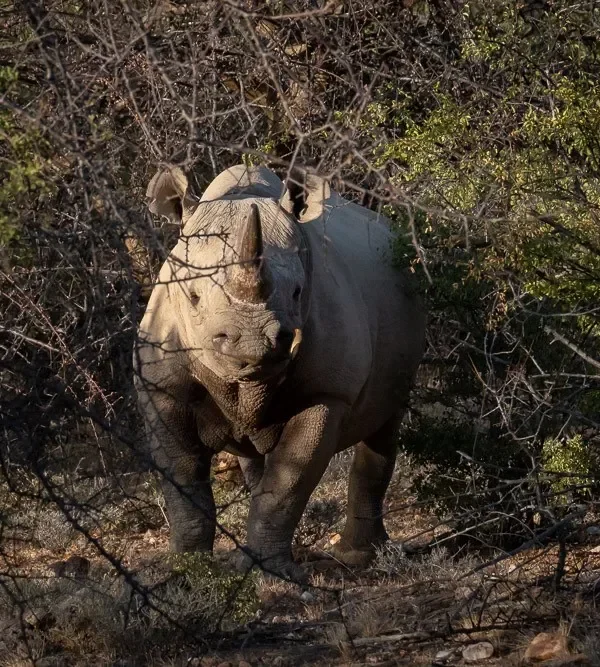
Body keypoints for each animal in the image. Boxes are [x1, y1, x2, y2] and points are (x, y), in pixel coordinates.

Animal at [134, 163, 426, 580]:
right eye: (193, 297)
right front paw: (186, 571)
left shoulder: (327, 393)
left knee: (384, 426)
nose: (254, 343)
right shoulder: (161, 386)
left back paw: (361, 557)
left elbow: (288, 484)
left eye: (298, 292)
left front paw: (273, 576)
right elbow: (183, 480)